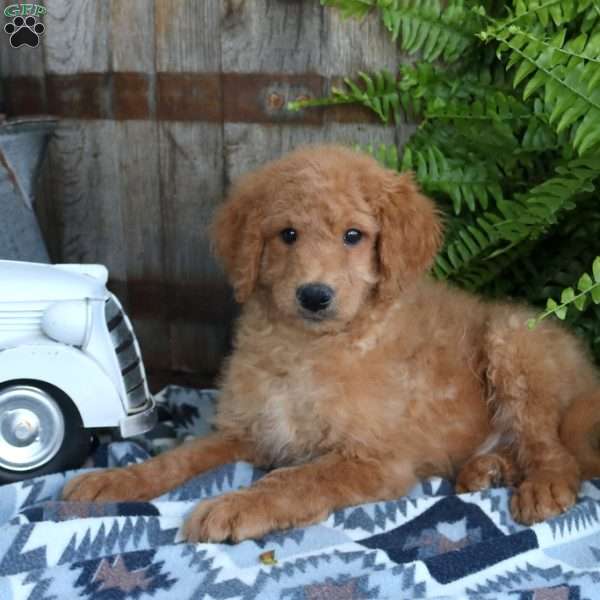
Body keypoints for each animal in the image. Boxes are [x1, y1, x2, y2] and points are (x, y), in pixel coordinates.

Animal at [63, 145, 600, 544]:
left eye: (353, 235)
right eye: (287, 234)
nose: (314, 295)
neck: (306, 348)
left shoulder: (375, 459)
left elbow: (299, 478)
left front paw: (234, 506)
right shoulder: (249, 431)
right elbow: (179, 457)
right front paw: (113, 480)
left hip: (513, 342)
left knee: (553, 448)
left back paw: (543, 488)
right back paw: (486, 470)